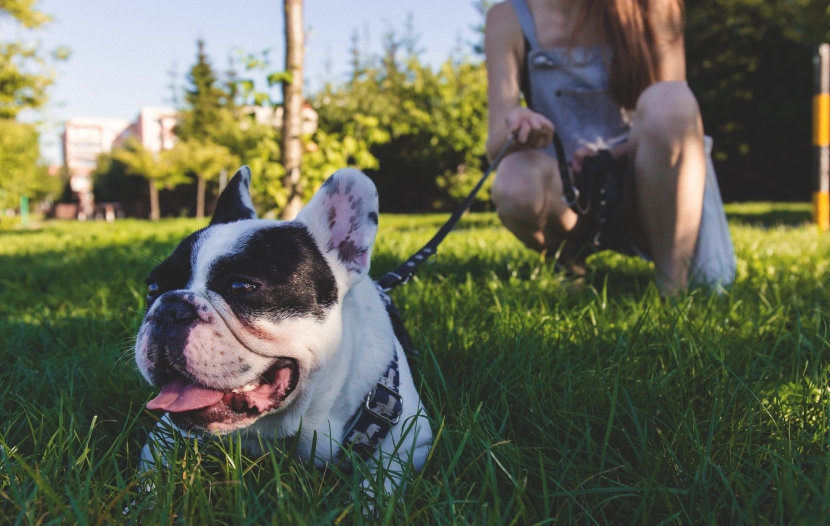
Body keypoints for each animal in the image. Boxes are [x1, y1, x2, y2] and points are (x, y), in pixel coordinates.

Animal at [133, 168, 432, 496]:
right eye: (152, 287)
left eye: (241, 286)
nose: (170, 309)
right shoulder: (164, 433)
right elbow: (148, 479)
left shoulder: (411, 440)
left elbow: (379, 483)